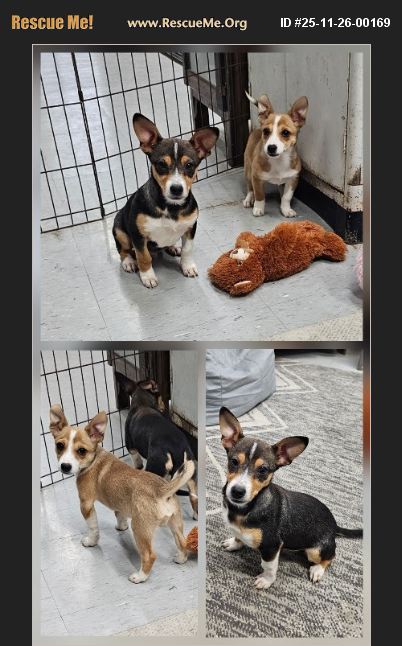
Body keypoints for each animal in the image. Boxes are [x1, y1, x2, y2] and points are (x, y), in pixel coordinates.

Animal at [49, 404, 195, 583]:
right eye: (59, 446)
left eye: (81, 451)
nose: (65, 466)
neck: (95, 458)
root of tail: (162, 490)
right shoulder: (120, 504)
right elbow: (120, 515)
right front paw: (121, 527)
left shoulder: (86, 505)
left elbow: (93, 528)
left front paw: (91, 542)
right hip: (175, 524)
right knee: (182, 543)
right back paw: (180, 559)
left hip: (140, 529)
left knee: (149, 555)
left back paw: (140, 576)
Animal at [112, 114, 219, 288]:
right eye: (162, 164)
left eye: (189, 165)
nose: (176, 189)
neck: (171, 207)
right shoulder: (138, 235)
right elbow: (143, 256)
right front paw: (148, 276)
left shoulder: (191, 227)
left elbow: (188, 249)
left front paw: (187, 266)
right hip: (120, 231)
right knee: (123, 250)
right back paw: (129, 262)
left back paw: (173, 247)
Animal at [116, 373, 198, 520]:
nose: (164, 407)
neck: (141, 404)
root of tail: (177, 450)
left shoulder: (132, 450)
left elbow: (137, 465)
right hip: (191, 474)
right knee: (193, 497)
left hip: (155, 467)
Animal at [219, 407, 362, 589]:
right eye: (234, 461)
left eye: (263, 470)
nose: (237, 491)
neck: (244, 508)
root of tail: (334, 525)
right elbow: (239, 536)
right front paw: (234, 543)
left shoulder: (272, 547)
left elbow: (269, 567)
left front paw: (266, 580)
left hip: (315, 551)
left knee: (330, 557)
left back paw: (317, 570)